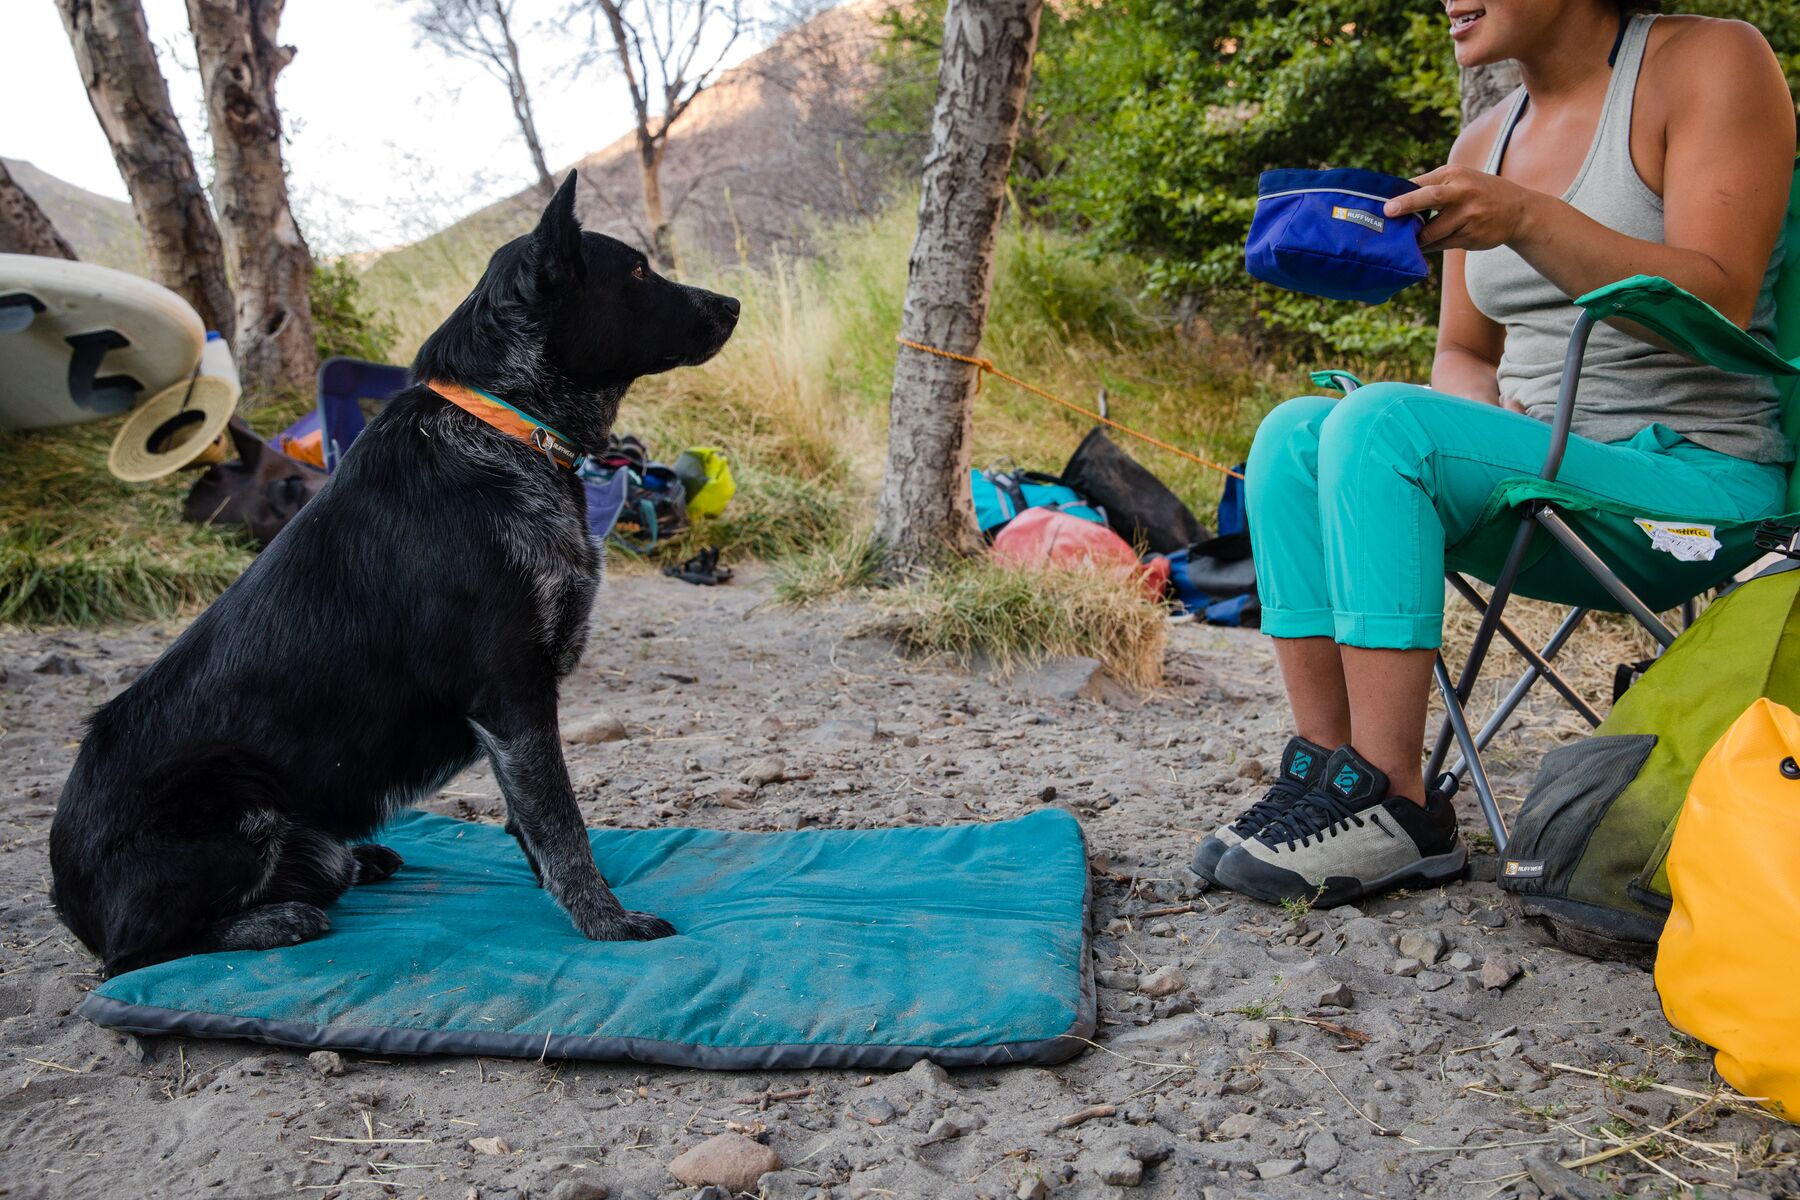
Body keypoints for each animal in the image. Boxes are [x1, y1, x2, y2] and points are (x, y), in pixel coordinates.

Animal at [51, 170, 738, 978]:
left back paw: (351, 861)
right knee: (135, 955)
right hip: (233, 799)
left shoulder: (514, 716)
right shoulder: (511, 694)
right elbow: (561, 824)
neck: (504, 426)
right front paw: (603, 918)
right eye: (634, 272)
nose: (732, 305)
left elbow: (531, 821)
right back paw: (278, 917)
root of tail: (69, 898)